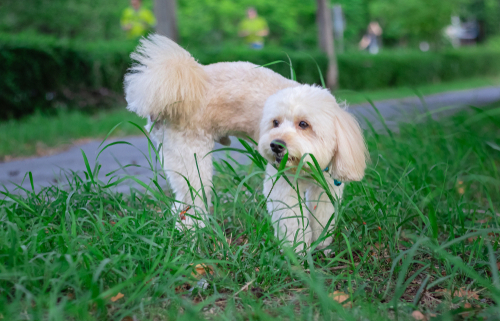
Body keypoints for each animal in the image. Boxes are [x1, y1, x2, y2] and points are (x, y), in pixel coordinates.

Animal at [125, 35, 368, 249]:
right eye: (275, 122)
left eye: (303, 124)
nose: (276, 145)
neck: (305, 166)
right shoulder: (282, 187)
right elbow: (292, 223)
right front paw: (297, 253)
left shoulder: (327, 189)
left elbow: (322, 220)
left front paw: (321, 247)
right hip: (190, 161)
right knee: (191, 204)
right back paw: (193, 239)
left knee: (181, 205)